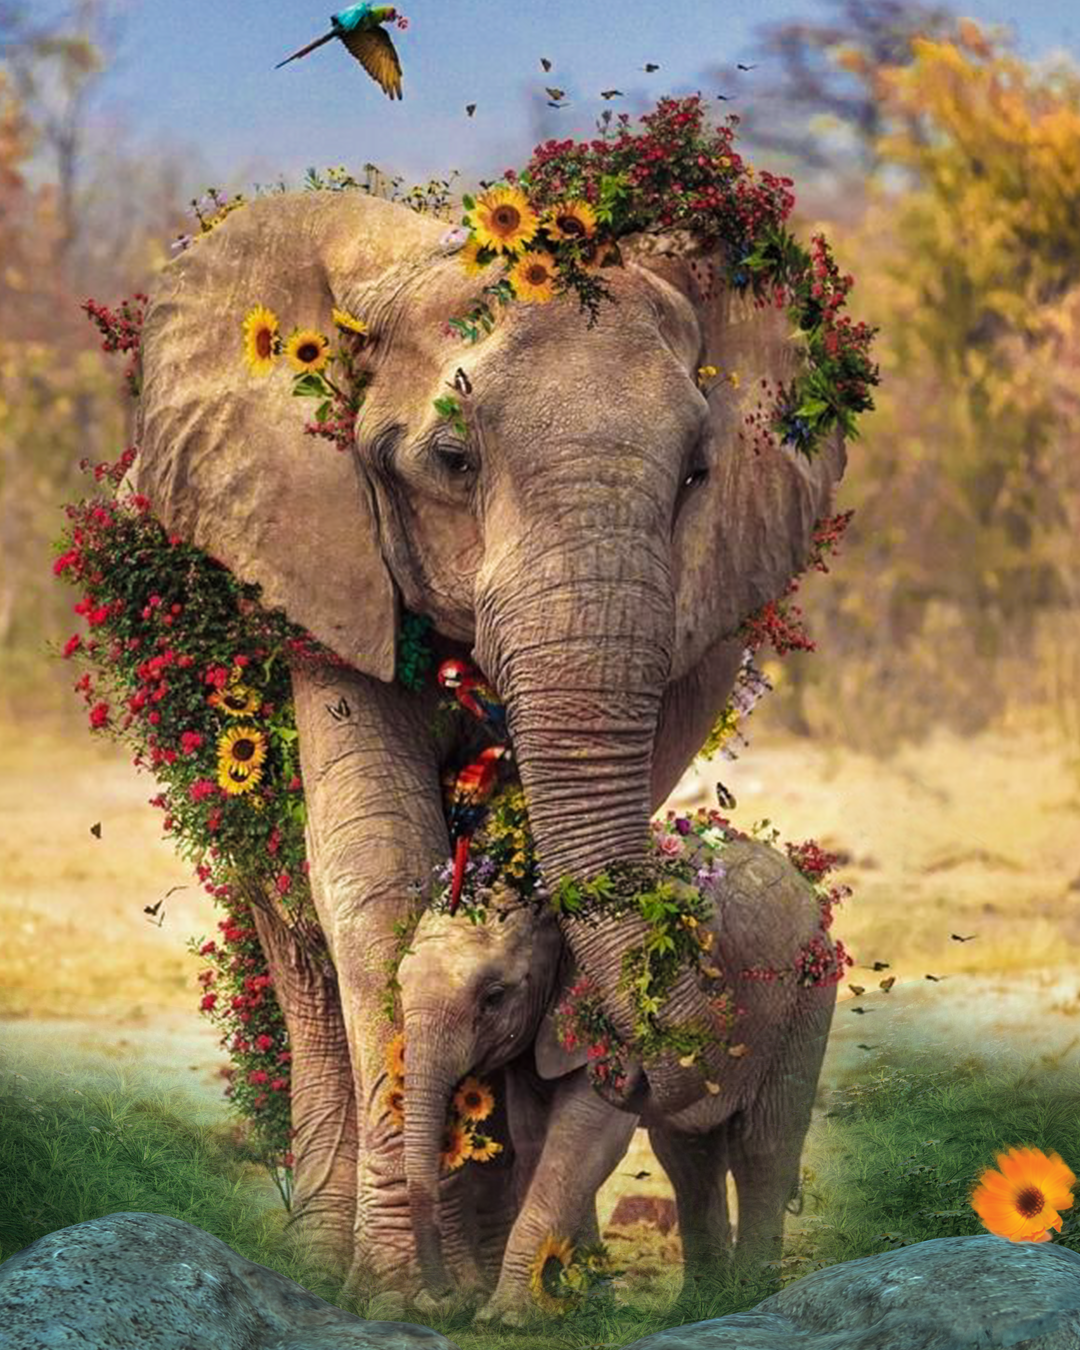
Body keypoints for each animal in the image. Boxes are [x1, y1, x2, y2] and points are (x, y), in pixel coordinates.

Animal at [397, 835, 837, 1320]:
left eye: (494, 996)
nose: (439, 1299)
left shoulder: (612, 1018)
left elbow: (582, 1140)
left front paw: (507, 1317)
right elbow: (538, 1141)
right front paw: (578, 1307)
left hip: (804, 997)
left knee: (763, 1143)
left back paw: (750, 1297)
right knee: (688, 1155)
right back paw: (697, 1307)